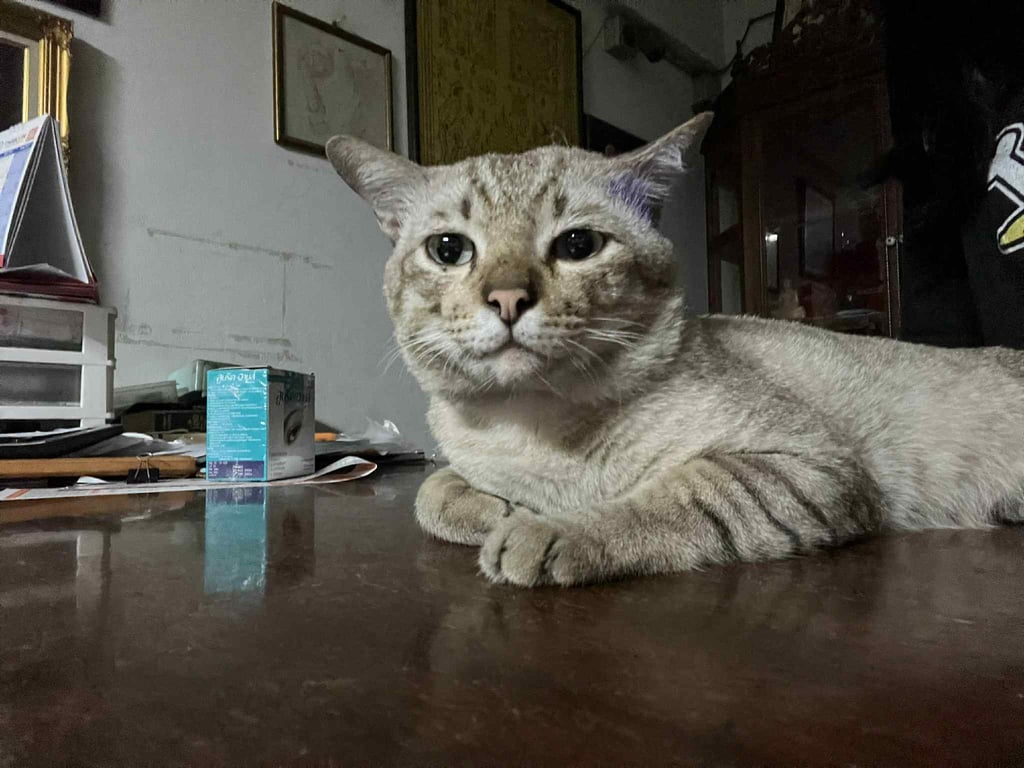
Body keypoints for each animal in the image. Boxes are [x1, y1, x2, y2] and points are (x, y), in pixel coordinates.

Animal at [325, 113, 1024, 587]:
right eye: (449, 250)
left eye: (577, 245)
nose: (506, 299)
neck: (533, 427)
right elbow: (432, 491)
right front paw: (493, 507)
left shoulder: (812, 467)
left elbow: (677, 494)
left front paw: (544, 531)